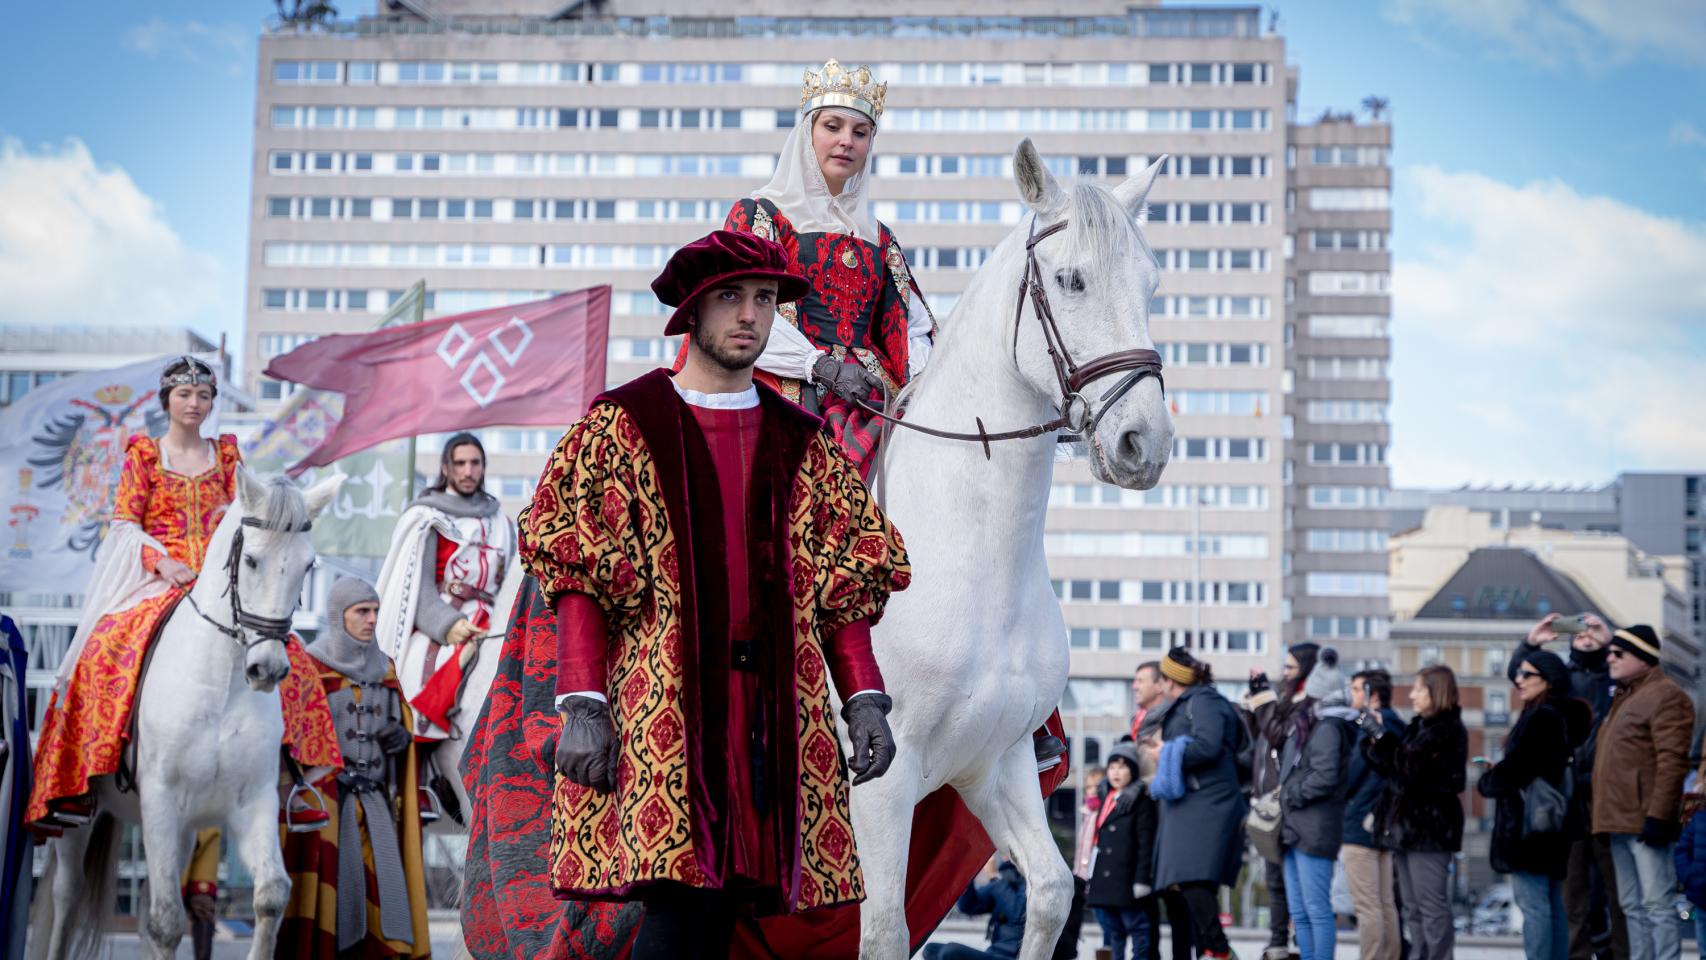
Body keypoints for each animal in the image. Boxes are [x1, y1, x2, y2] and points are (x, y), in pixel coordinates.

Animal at [31, 467, 342, 960]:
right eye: (250, 560)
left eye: (308, 565)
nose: (267, 669)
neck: (220, 686)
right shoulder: (160, 798)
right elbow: (164, 922)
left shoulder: (252, 800)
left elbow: (270, 896)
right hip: (81, 818)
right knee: (68, 894)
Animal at [853, 138, 1173, 954]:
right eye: (1071, 278)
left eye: (1152, 284)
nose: (1145, 443)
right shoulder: (880, 785)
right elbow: (884, 928)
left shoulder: (996, 763)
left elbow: (1055, 892)